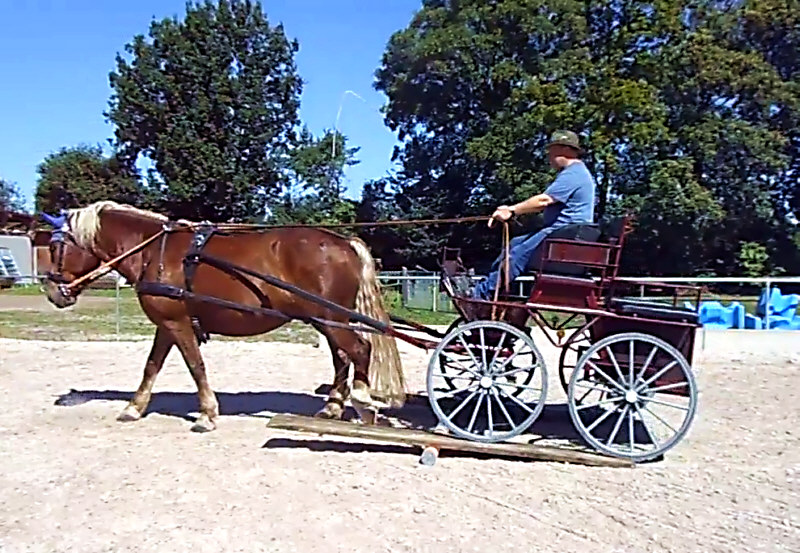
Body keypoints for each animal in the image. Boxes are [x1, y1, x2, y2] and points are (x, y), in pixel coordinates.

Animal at [41, 199, 406, 432]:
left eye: (56, 247)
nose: (52, 291)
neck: (152, 251)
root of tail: (344, 242)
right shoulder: (167, 325)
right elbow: (152, 366)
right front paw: (134, 407)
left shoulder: (176, 323)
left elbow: (195, 366)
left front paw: (207, 414)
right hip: (326, 320)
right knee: (342, 356)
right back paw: (332, 406)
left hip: (331, 317)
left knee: (359, 350)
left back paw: (363, 403)